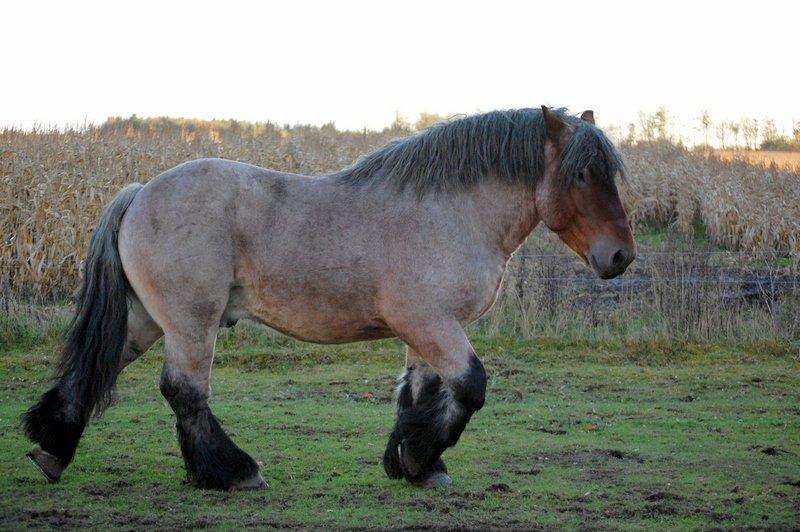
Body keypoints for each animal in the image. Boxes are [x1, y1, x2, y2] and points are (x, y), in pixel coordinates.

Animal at [25, 107, 636, 490]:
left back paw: (51, 449)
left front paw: (415, 464)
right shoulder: (431, 322)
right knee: (184, 392)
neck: (450, 211)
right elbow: (470, 387)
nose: (620, 257)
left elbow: (419, 393)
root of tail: (138, 193)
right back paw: (234, 472)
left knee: (99, 367)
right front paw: (420, 456)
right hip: (190, 323)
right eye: (582, 174)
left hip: (148, 319)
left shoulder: (426, 329)